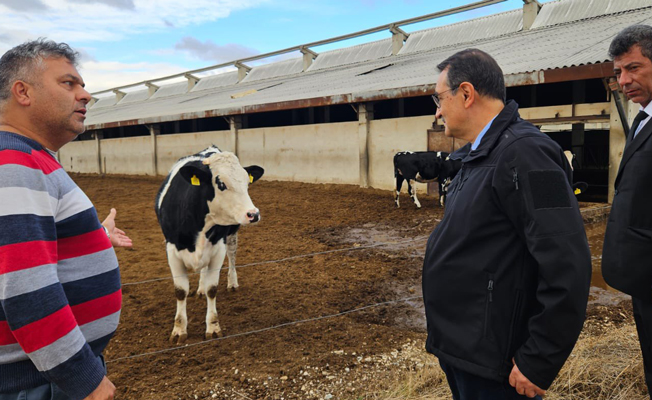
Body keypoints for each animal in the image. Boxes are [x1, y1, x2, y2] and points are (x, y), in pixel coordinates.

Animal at [154, 147, 264, 344]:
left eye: (247, 183)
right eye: (221, 184)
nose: (253, 214)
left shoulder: (218, 248)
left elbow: (212, 289)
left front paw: (213, 327)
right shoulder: (172, 251)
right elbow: (180, 291)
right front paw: (179, 330)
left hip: (231, 233)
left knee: (232, 255)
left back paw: (232, 282)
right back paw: (200, 288)